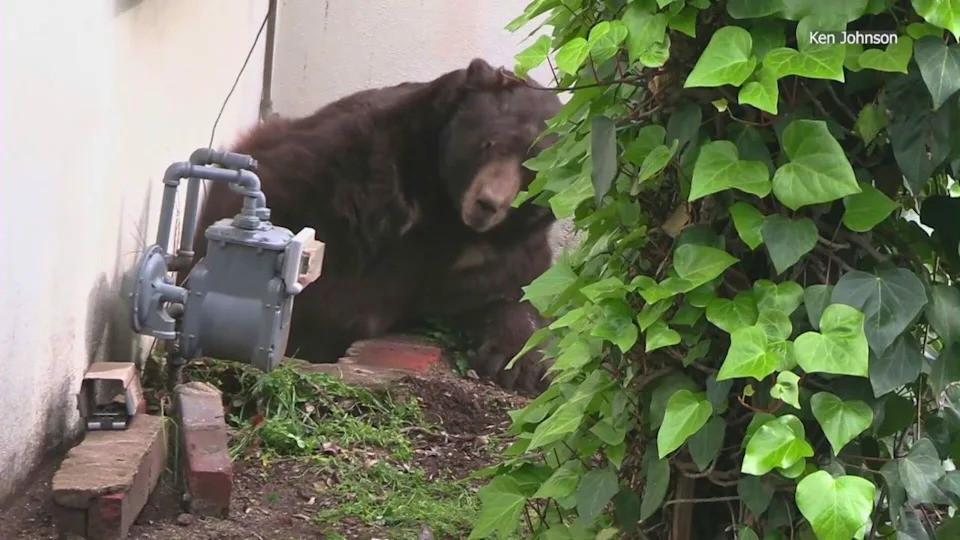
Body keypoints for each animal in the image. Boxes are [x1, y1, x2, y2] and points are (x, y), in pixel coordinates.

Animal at [186, 58, 562, 395]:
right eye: (488, 142)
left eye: (530, 167)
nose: (487, 203)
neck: (446, 216)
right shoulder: (356, 170)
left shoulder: (490, 256)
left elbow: (519, 290)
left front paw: (524, 366)